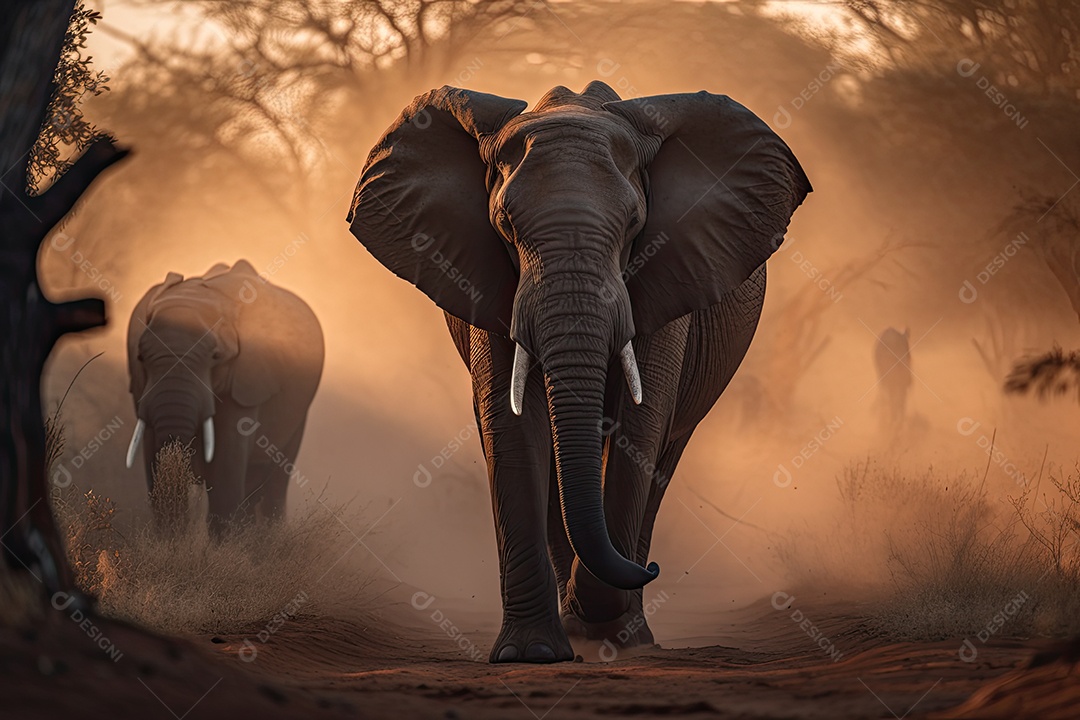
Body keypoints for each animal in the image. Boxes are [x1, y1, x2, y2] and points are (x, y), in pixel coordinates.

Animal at [126, 260, 324, 535]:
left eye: (216, 356)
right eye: (141, 357)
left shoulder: (247, 382)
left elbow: (226, 473)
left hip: (298, 413)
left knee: (275, 481)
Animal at [347, 81, 811, 663]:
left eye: (635, 225)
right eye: (505, 225)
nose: (653, 570)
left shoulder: (668, 273)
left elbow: (638, 430)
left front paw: (596, 616)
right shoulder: (486, 280)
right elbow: (511, 426)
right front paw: (531, 654)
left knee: (663, 456)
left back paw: (627, 630)